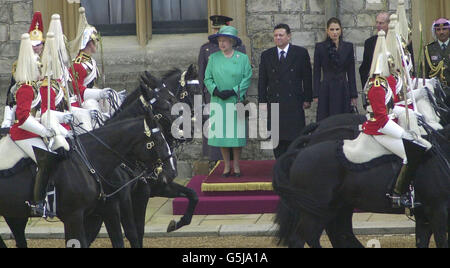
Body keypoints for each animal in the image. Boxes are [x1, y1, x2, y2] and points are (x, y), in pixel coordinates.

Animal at [272, 124, 448, 249]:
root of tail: (300, 153)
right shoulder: (438, 210)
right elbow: (441, 241)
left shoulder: (424, 214)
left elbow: (423, 241)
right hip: (315, 212)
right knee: (302, 239)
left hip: (337, 207)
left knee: (337, 235)